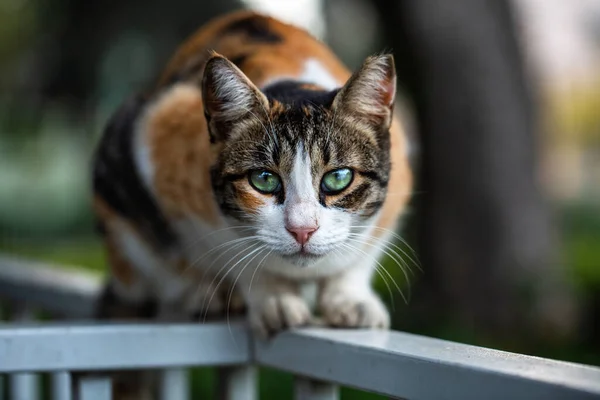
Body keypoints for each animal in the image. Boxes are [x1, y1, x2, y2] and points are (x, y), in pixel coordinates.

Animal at [94, 10, 412, 340]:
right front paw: (275, 300)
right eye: (263, 179)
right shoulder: (158, 131)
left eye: (338, 178)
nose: (302, 230)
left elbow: (363, 253)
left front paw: (351, 300)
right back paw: (207, 293)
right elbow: (234, 251)